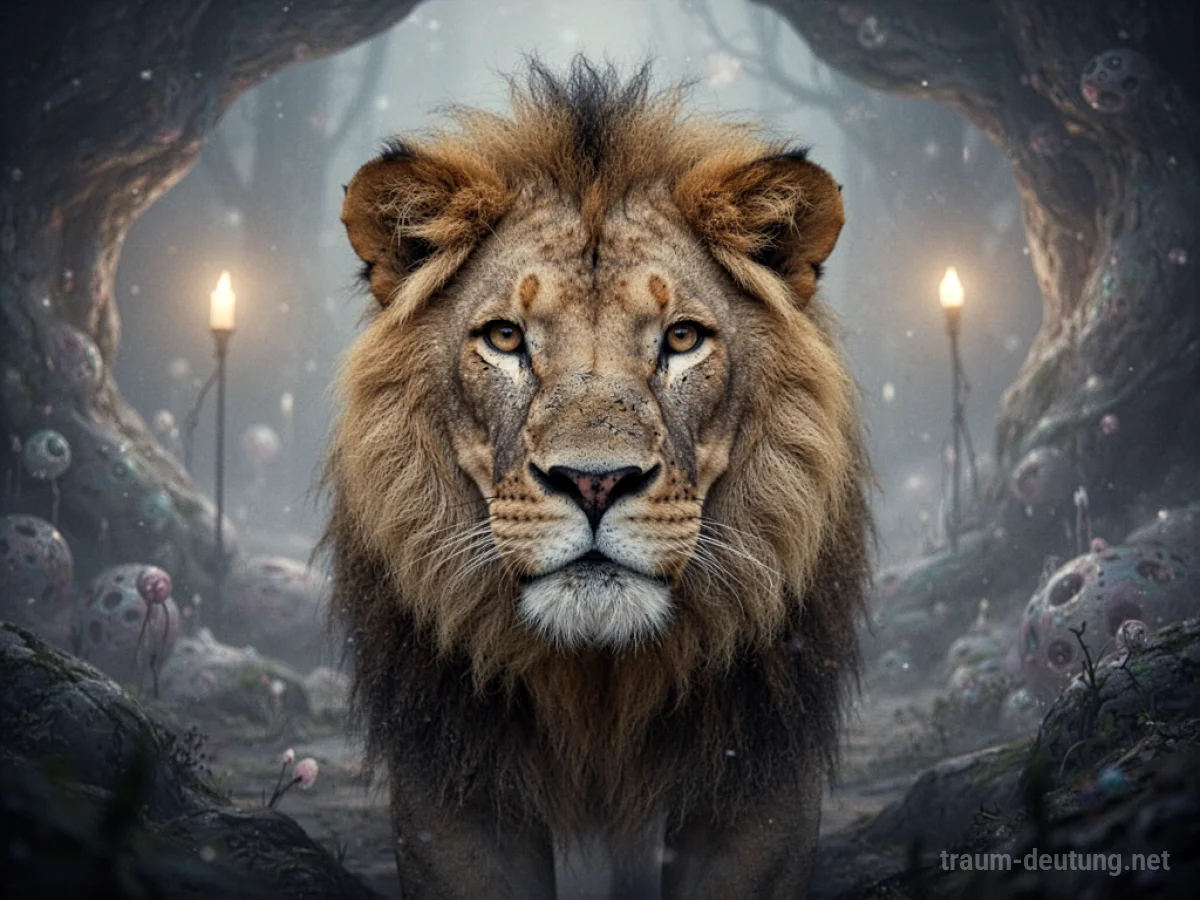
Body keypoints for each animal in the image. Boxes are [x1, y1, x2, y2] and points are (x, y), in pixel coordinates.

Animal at [324, 58, 872, 900]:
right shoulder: (451, 791)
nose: (594, 484)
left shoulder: (758, 787)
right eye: (505, 338)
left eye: (681, 338)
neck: (598, 687)